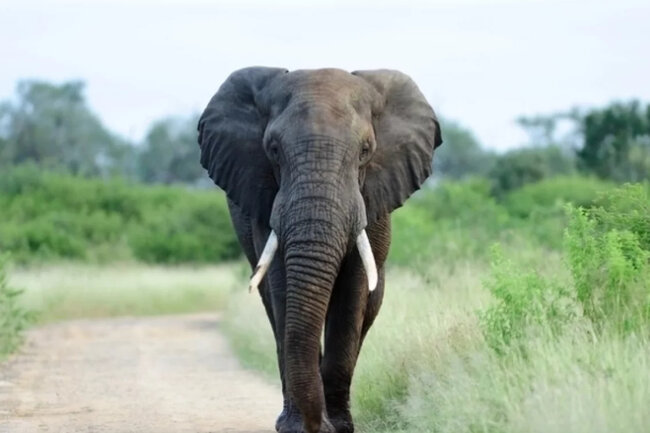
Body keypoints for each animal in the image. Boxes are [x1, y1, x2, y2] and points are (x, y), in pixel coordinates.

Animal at [197, 67, 441, 433]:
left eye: (365, 150)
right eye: (272, 149)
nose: (318, 426)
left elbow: (353, 292)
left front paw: (338, 427)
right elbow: (283, 284)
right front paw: (300, 427)